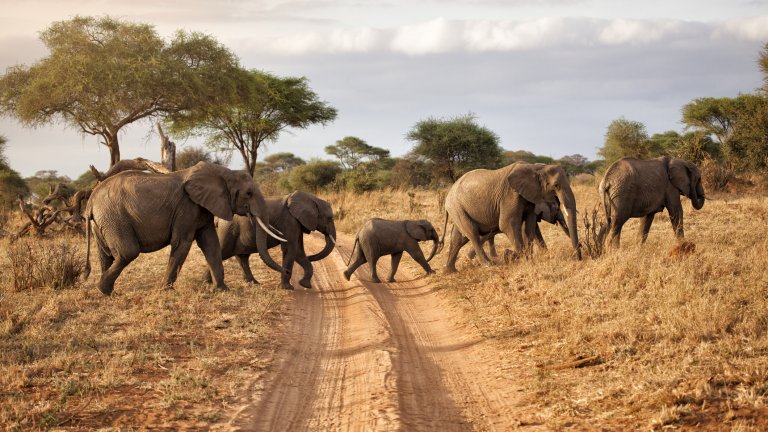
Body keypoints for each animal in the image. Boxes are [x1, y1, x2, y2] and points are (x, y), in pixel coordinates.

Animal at [84, 160, 286, 296]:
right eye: (249, 193)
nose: (287, 274)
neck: (224, 173)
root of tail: (91, 200)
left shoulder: (203, 207)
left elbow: (211, 244)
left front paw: (222, 290)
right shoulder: (187, 207)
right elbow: (182, 243)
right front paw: (165, 291)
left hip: (103, 221)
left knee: (106, 254)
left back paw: (107, 293)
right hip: (114, 217)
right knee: (128, 252)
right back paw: (103, 289)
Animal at [440, 162, 580, 274]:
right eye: (556, 185)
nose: (579, 259)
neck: (535, 167)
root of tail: (448, 195)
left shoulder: (530, 198)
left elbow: (530, 226)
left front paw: (528, 258)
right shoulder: (511, 195)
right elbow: (508, 224)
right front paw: (512, 256)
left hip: (458, 209)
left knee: (458, 238)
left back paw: (450, 271)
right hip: (457, 207)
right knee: (472, 233)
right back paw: (489, 264)